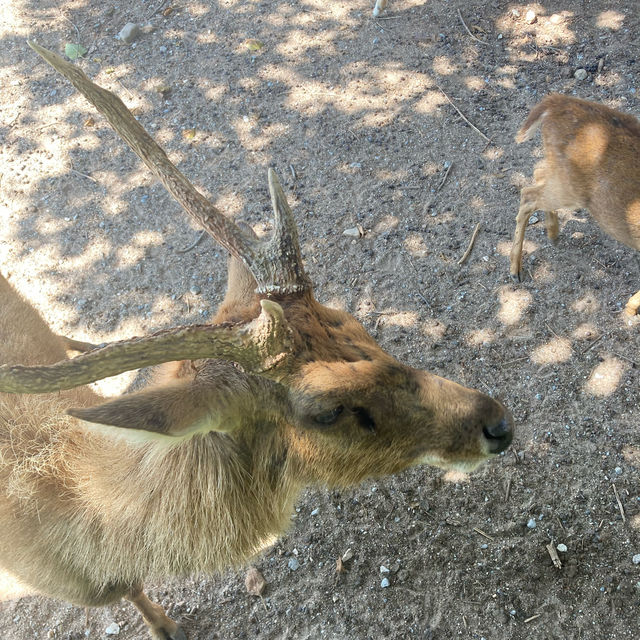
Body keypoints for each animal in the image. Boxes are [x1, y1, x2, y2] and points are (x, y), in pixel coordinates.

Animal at [510, 92, 640, 318]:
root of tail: (553, 101)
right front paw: (630, 308)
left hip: (561, 176)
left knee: (537, 173)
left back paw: (553, 233)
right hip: (571, 188)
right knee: (528, 194)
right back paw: (515, 270)